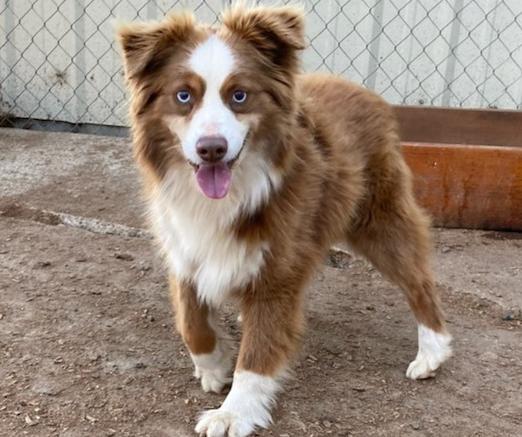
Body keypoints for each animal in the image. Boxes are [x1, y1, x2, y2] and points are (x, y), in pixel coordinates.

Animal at [116, 4, 448, 436]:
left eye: (239, 95)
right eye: (183, 96)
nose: (211, 149)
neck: (227, 196)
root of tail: (366, 92)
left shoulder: (279, 267)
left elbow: (258, 352)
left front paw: (234, 412)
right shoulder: (186, 248)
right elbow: (191, 322)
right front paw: (215, 364)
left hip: (380, 220)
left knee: (419, 282)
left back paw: (432, 351)